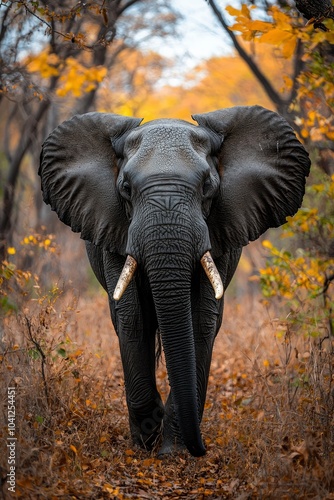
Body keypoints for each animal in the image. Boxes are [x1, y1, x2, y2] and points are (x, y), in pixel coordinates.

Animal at [39, 105, 310, 458]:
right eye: (126, 188)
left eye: (208, 186)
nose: (202, 449)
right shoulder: (114, 230)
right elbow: (132, 318)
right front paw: (146, 441)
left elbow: (201, 320)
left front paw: (174, 450)